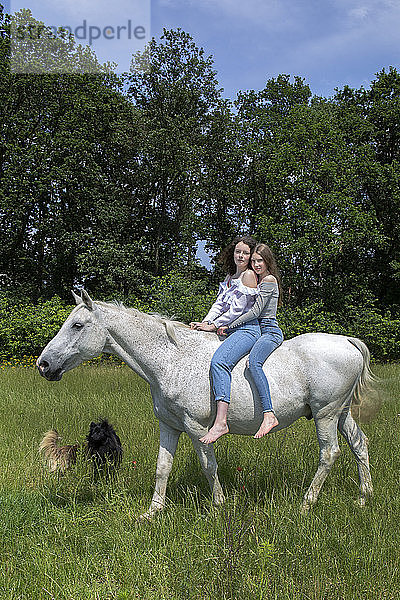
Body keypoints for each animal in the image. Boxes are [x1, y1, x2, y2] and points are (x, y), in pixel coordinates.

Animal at [36, 290, 376, 516]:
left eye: (77, 325)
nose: (44, 364)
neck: (172, 360)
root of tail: (348, 341)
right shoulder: (169, 425)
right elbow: (162, 467)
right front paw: (153, 513)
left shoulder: (197, 427)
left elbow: (208, 465)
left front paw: (219, 506)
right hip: (341, 413)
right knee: (360, 445)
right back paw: (363, 498)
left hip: (325, 414)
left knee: (329, 454)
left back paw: (307, 504)